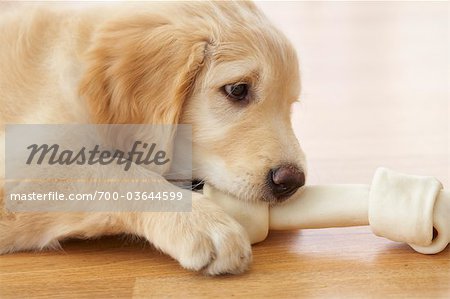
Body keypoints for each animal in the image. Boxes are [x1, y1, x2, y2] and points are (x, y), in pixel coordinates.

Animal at [0, 0, 306, 276]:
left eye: (290, 105)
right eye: (237, 89)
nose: (293, 181)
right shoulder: (23, 167)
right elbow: (115, 174)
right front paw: (203, 222)